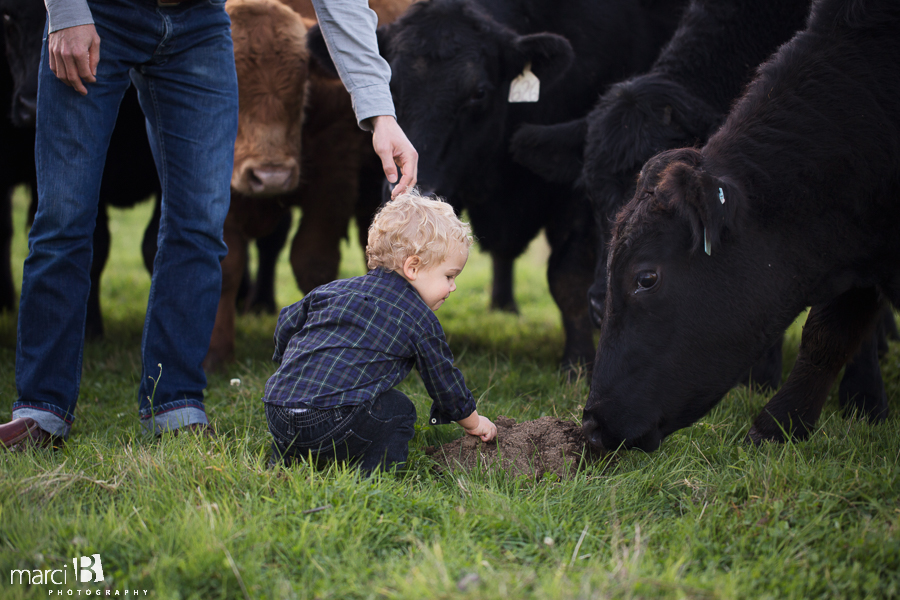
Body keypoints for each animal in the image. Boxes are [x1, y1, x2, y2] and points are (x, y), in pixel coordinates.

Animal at [312, 0, 684, 370]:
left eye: (478, 93)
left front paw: (578, 364)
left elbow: (568, 274)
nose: (420, 187)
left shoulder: (579, 184)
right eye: (389, 86)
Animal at [580, 0, 900, 452]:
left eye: (645, 278)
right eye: (589, 196)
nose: (592, 420)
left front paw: (861, 402)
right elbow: (827, 334)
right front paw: (779, 423)